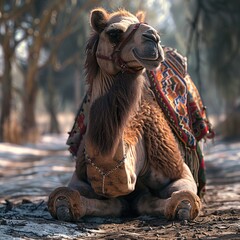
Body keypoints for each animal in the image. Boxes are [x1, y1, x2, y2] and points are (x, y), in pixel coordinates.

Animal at [48, 7, 212, 221]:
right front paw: (64, 206)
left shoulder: (177, 169)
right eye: (114, 33)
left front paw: (182, 208)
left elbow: (181, 196)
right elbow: (70, 195)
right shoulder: (80, 177)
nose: (153, 38)